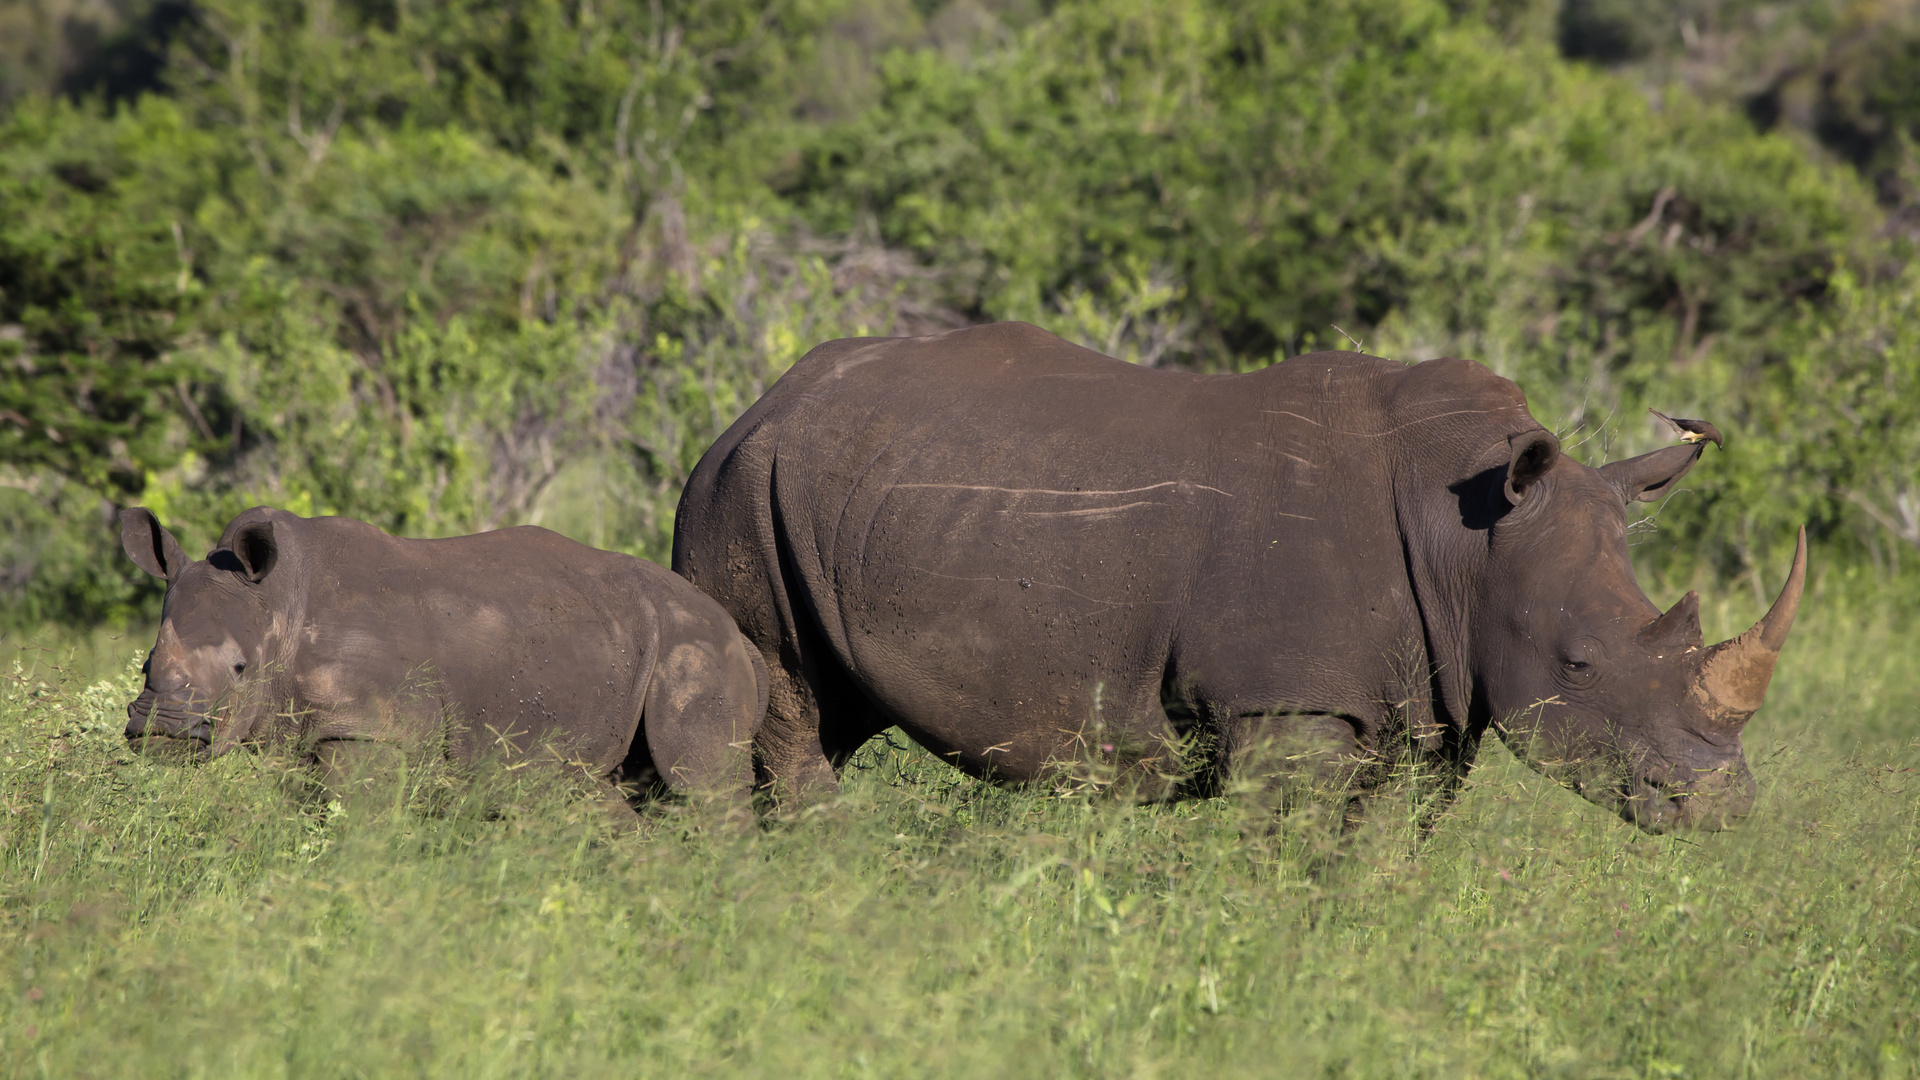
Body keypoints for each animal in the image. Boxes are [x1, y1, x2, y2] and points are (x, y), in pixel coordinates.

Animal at [116, 503, 764, 799]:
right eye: (144, 665)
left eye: (239, 669)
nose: (162, 731)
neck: (277, 604)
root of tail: (739, 634)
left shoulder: (370, 727)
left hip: (694, 642)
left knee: (703, 791)